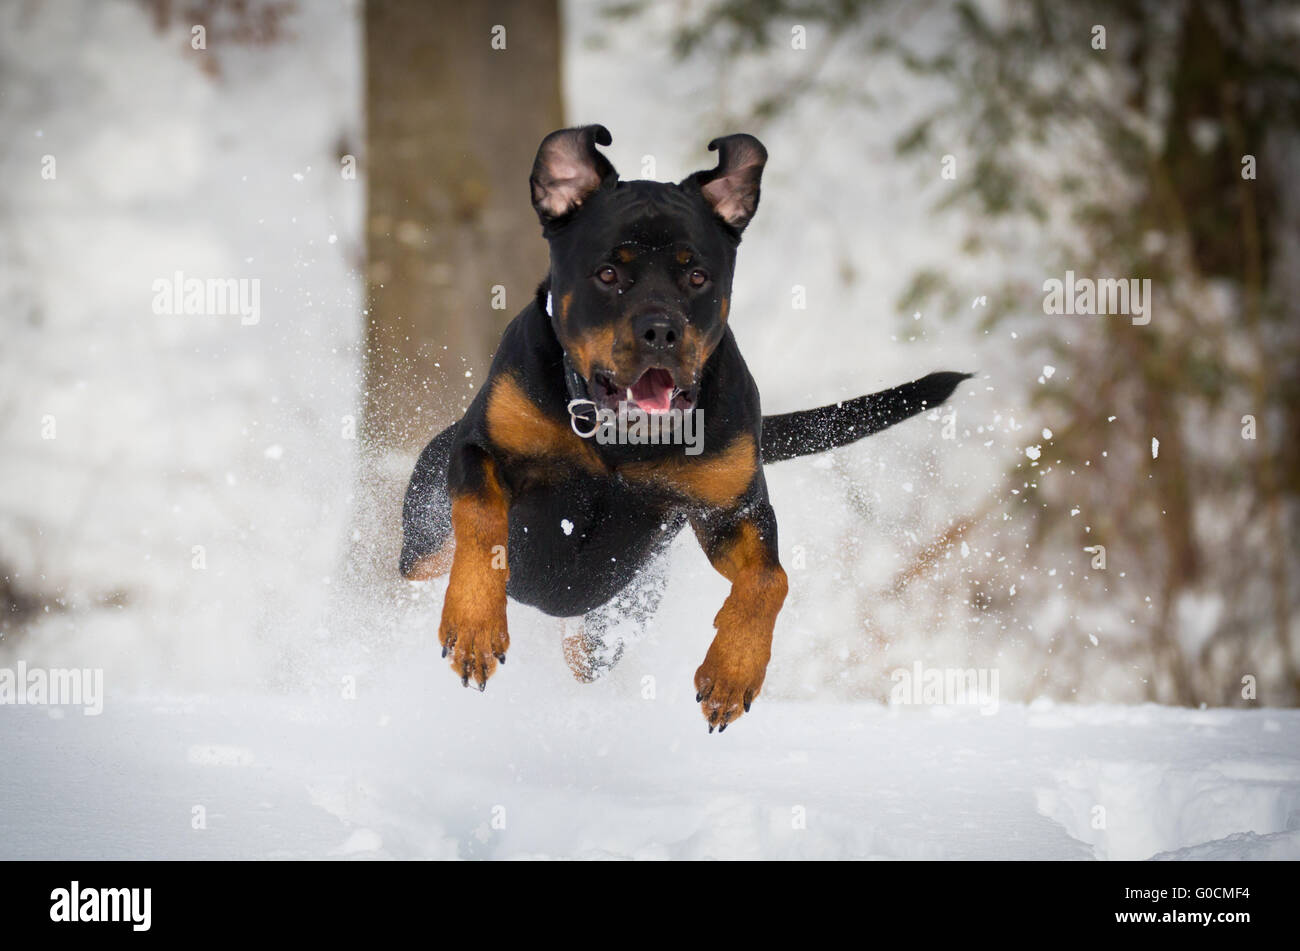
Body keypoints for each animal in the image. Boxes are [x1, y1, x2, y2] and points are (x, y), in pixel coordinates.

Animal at [400, 126, 972, 732]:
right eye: (609, 273)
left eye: (697, 276)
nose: (660, 330)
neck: (620, 441)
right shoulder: (481, 450)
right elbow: (484, 519)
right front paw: (475, 627)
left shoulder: (731, 510)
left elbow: (770, 579)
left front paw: (732, 673)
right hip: (422, 537)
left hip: (616, 618)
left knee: (587, 649)